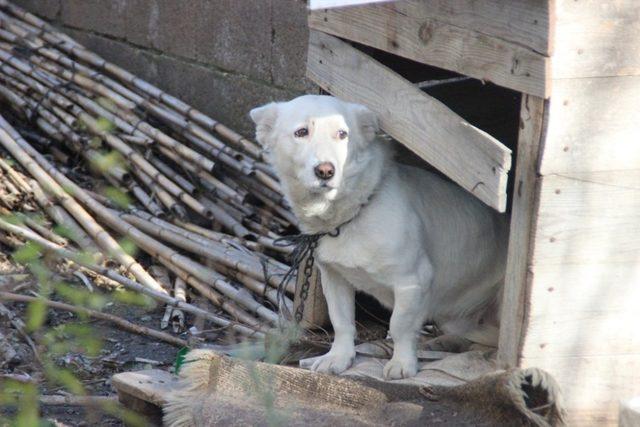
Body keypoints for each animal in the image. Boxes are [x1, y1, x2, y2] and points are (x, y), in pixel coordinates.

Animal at [250, 95, 504, 380]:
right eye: (301, 132)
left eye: (343, 134)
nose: (326, 171)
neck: (354, 213)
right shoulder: (334, 278)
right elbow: (342, 322)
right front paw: (339, 358)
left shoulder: (412, 280)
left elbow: (399, 326)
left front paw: (403, 363)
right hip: (456, 318)